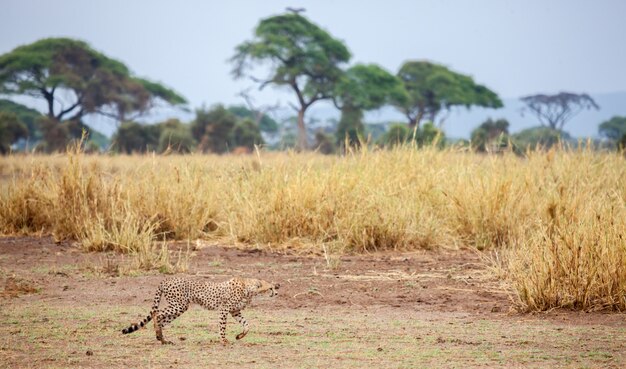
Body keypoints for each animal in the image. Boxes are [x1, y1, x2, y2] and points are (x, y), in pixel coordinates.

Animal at [120, 278, 280, 344]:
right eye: (271, 288)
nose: (277, 292)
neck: (250, 289)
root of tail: (165, 280)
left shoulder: (235, 311)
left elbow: (247, 325)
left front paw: (239, 336)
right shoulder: (224, 310)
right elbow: (222, 327)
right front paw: (223, 340)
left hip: (179, 307)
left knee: (161, 320)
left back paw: (163, 339)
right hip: (179, 305)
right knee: (156, 313)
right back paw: (160, 336)